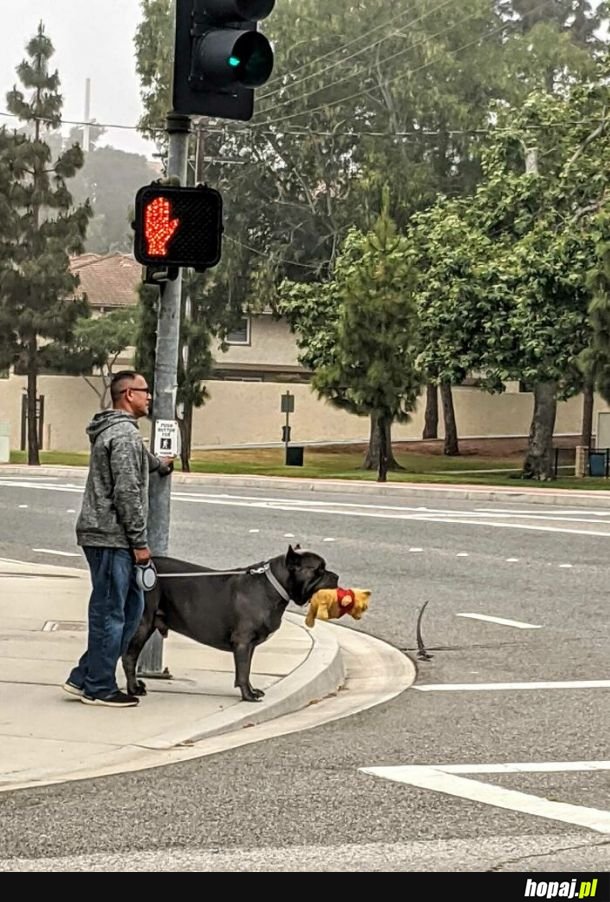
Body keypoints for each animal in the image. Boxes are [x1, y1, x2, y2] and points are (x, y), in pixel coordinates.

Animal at [122, 544, 338, 708]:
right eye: (319, 570)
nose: (336, 576)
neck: (273, 585)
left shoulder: (249, 645)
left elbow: (247, 669)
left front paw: (251, 690)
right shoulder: (243, 642)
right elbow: (242, 671)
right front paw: (248, 696)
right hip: (143, 625)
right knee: (129, 657)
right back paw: (134, 689)